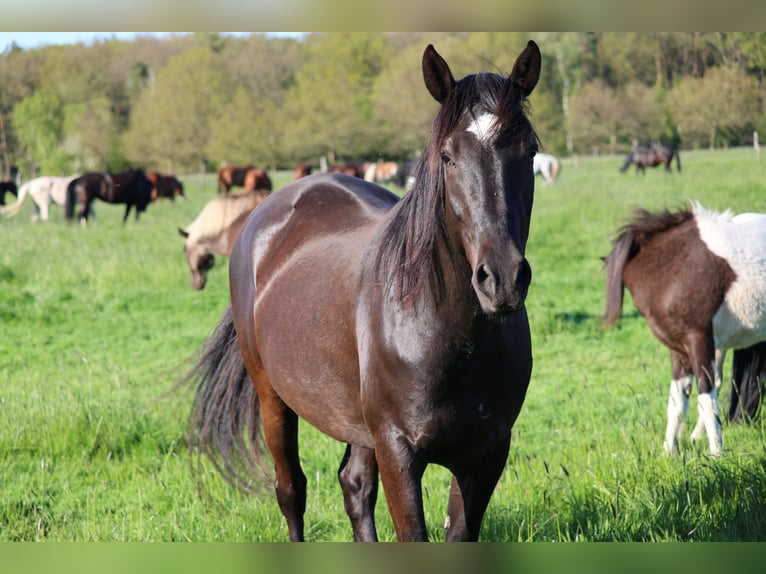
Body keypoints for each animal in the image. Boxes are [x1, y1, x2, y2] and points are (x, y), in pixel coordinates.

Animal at [181, 41, 541, 542]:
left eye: (530, 152)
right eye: (448, 157)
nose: (502, 278)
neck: (450, 335)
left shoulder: (486, 454)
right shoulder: (398, 451)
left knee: (354, 486)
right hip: (273, 398)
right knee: (290, 489)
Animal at [603, 203, 766, 456]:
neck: (674, 268)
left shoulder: (699, 341)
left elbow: (707, 398)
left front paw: (716, 454)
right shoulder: (679, 351)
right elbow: (676, 403)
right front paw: (668, 453)